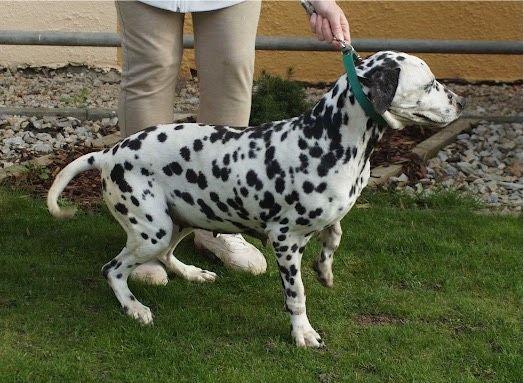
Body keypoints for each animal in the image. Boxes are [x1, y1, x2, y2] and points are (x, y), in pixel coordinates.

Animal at [48, 52, 462, 350]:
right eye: (429, 84)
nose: (460, 102)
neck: (328, 139)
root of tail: (109, 153)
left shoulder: (330, 217)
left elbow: (334, 236)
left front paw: (325, 270)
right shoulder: (285, 240)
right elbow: (297, 296)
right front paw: (302, 333)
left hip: (179, 221)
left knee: (165, 255)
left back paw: (192, 273)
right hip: (153, 229)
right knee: (113, 269)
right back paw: (135, 307)